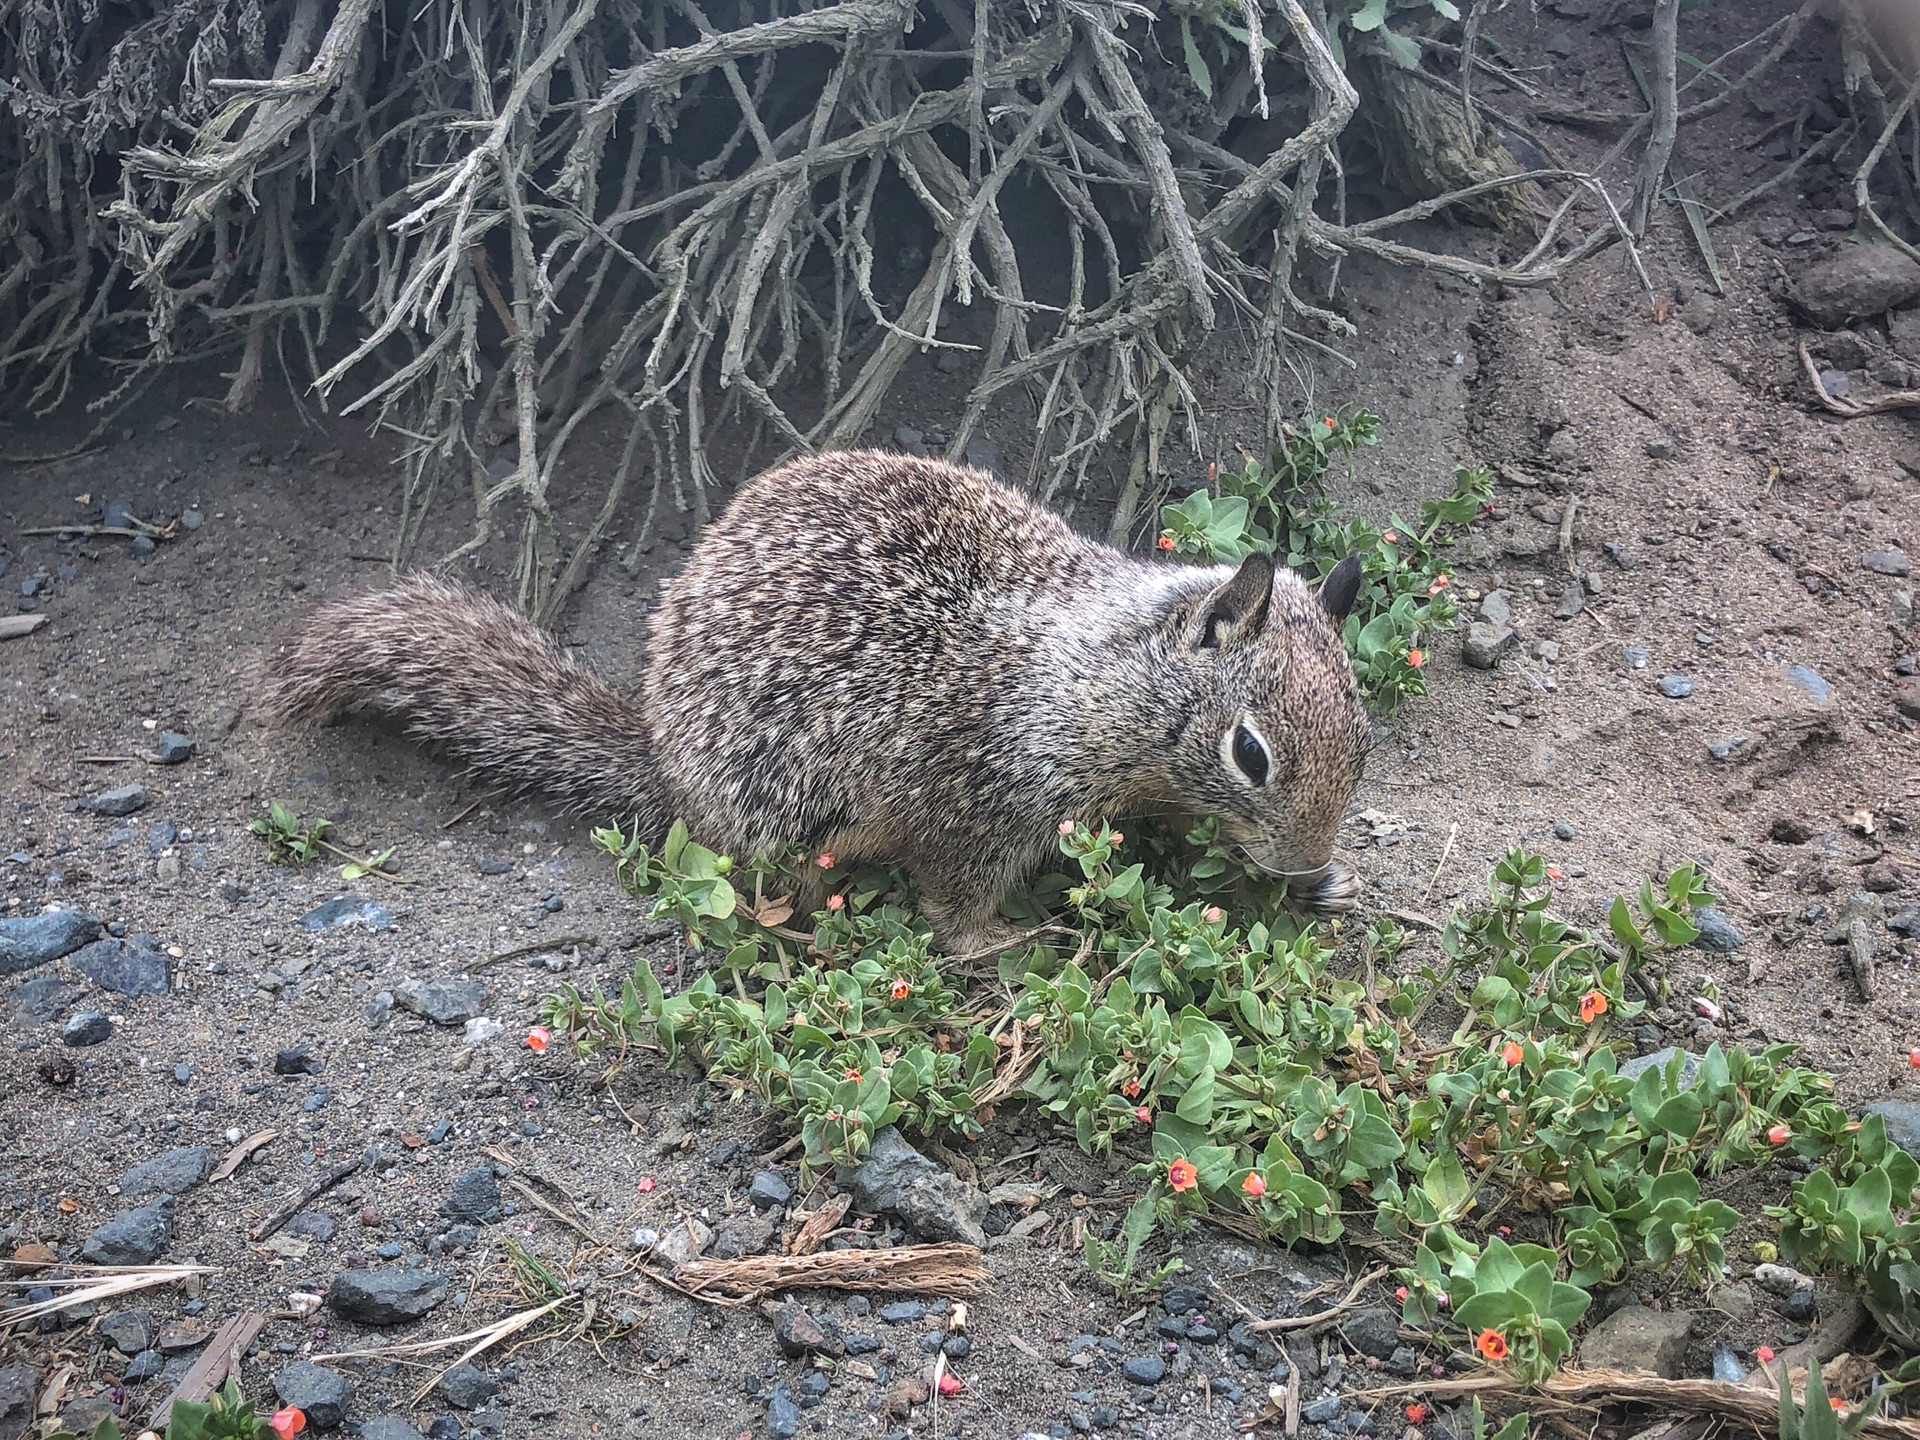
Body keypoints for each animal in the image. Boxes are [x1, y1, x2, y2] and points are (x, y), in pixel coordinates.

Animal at [274, 451, 1382, 948]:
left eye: (1365, 747)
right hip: (785, 815)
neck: (1089, 677)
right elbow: (954, 901)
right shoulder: (980, 798)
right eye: (1251, 754)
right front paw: (1005, 940)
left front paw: (1318, 887)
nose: (1303, 858)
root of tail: (663, 754)